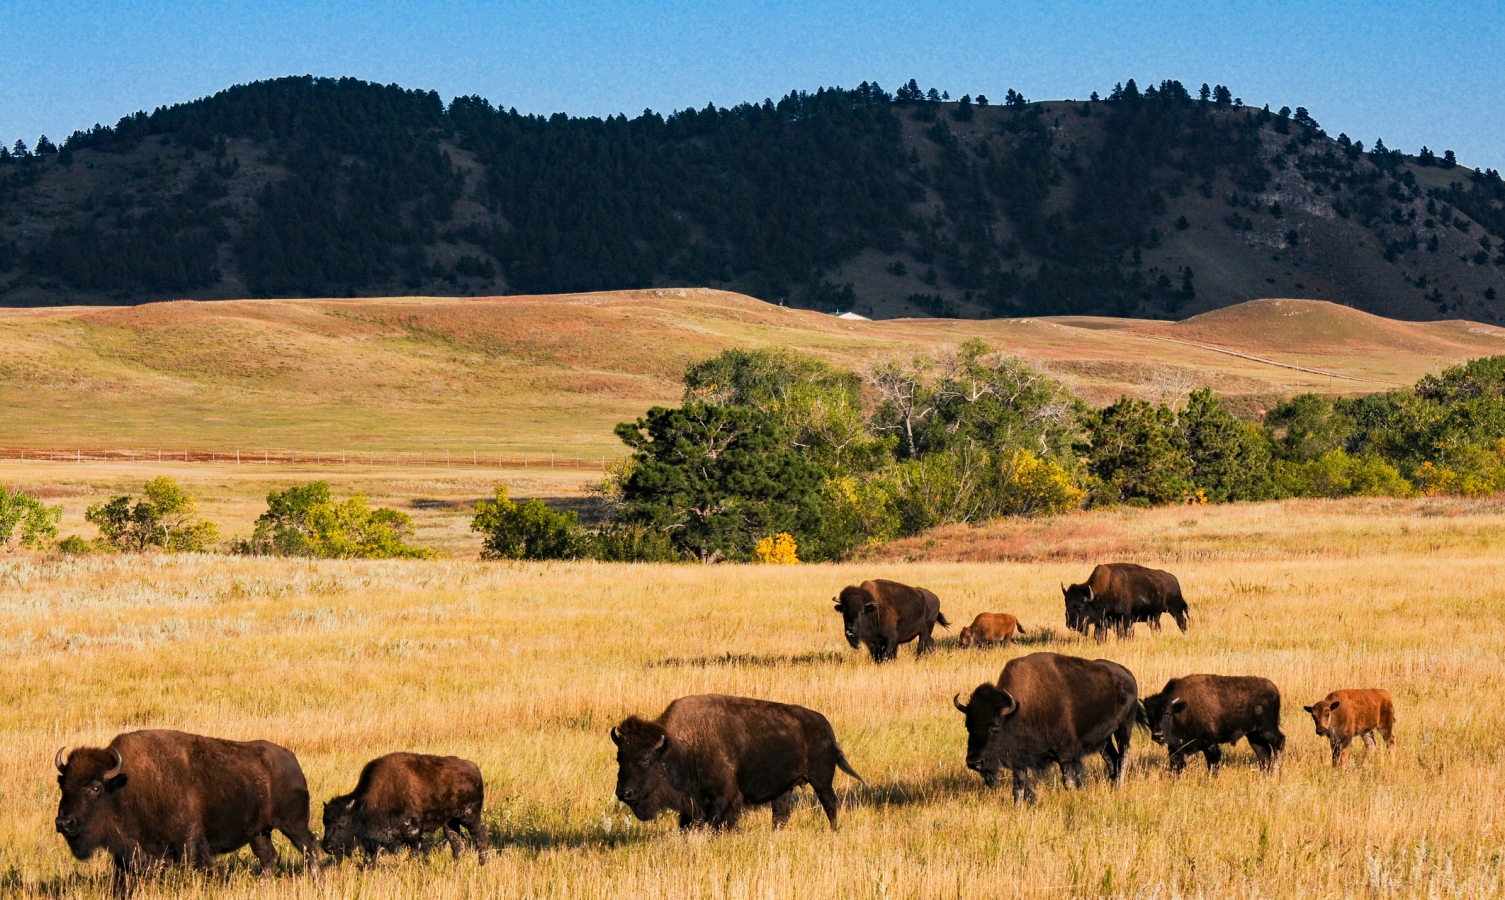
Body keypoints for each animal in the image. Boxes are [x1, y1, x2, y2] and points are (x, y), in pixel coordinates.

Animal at [53, 731, 320, 896]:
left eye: (95, 787)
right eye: (63, 784)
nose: (64, 823)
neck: (125, 786)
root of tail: (291, 759)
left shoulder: (190, 846)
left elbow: (205, 872)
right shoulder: (129, 856)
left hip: (293, 825)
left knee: (310, 848)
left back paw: (318, 884)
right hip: (259, 833)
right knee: (269, 858)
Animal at [322, 755, 487, 866]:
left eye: (343, 821)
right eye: (325, 822)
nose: (327, 847)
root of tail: (473, 767)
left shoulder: (412, 832)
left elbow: (414, 853)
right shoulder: (373, 840)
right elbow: (368, 860)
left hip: (469, 816)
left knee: (480, 836)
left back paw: (481, 863)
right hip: (450, 822)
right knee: (459, 843)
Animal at [611, 698, 866, 830]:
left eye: (645, 759)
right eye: (619, 758)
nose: (624, 793)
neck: (677, 747)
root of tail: (825, 727)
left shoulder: (723, 799)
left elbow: (718, 823)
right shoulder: (693, 805)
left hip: (821, 781)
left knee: (830, 804)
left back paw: (833, 831)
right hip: (783, 788)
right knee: (781, 815)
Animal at [957, 653, 1131, 806]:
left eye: (996, 725)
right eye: (968, 725)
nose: (974, 762)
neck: (1018, 710)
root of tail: (1127, 674)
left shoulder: (1065, 754)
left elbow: (1069, 782)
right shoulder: (1019, 758)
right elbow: (1018, 787)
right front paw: (1018, 808)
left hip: (1124, 728)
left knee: (1124, 754)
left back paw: (1119, 785)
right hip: (1104, 739)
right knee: (1111, 757)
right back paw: (1112, 783)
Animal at [1143, 677, 1288, 776]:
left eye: (1167, 712)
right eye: (1149, 715)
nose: (1158, 735)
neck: (1181, 709)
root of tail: (1274, 689)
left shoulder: (1210, 745)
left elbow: (1213, 766)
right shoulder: (1174, 748)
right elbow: (1176, 767)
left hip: (1267, 729)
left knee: (1279, 742)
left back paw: (1275, 774)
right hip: (1253, 735)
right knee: (1264, 753)